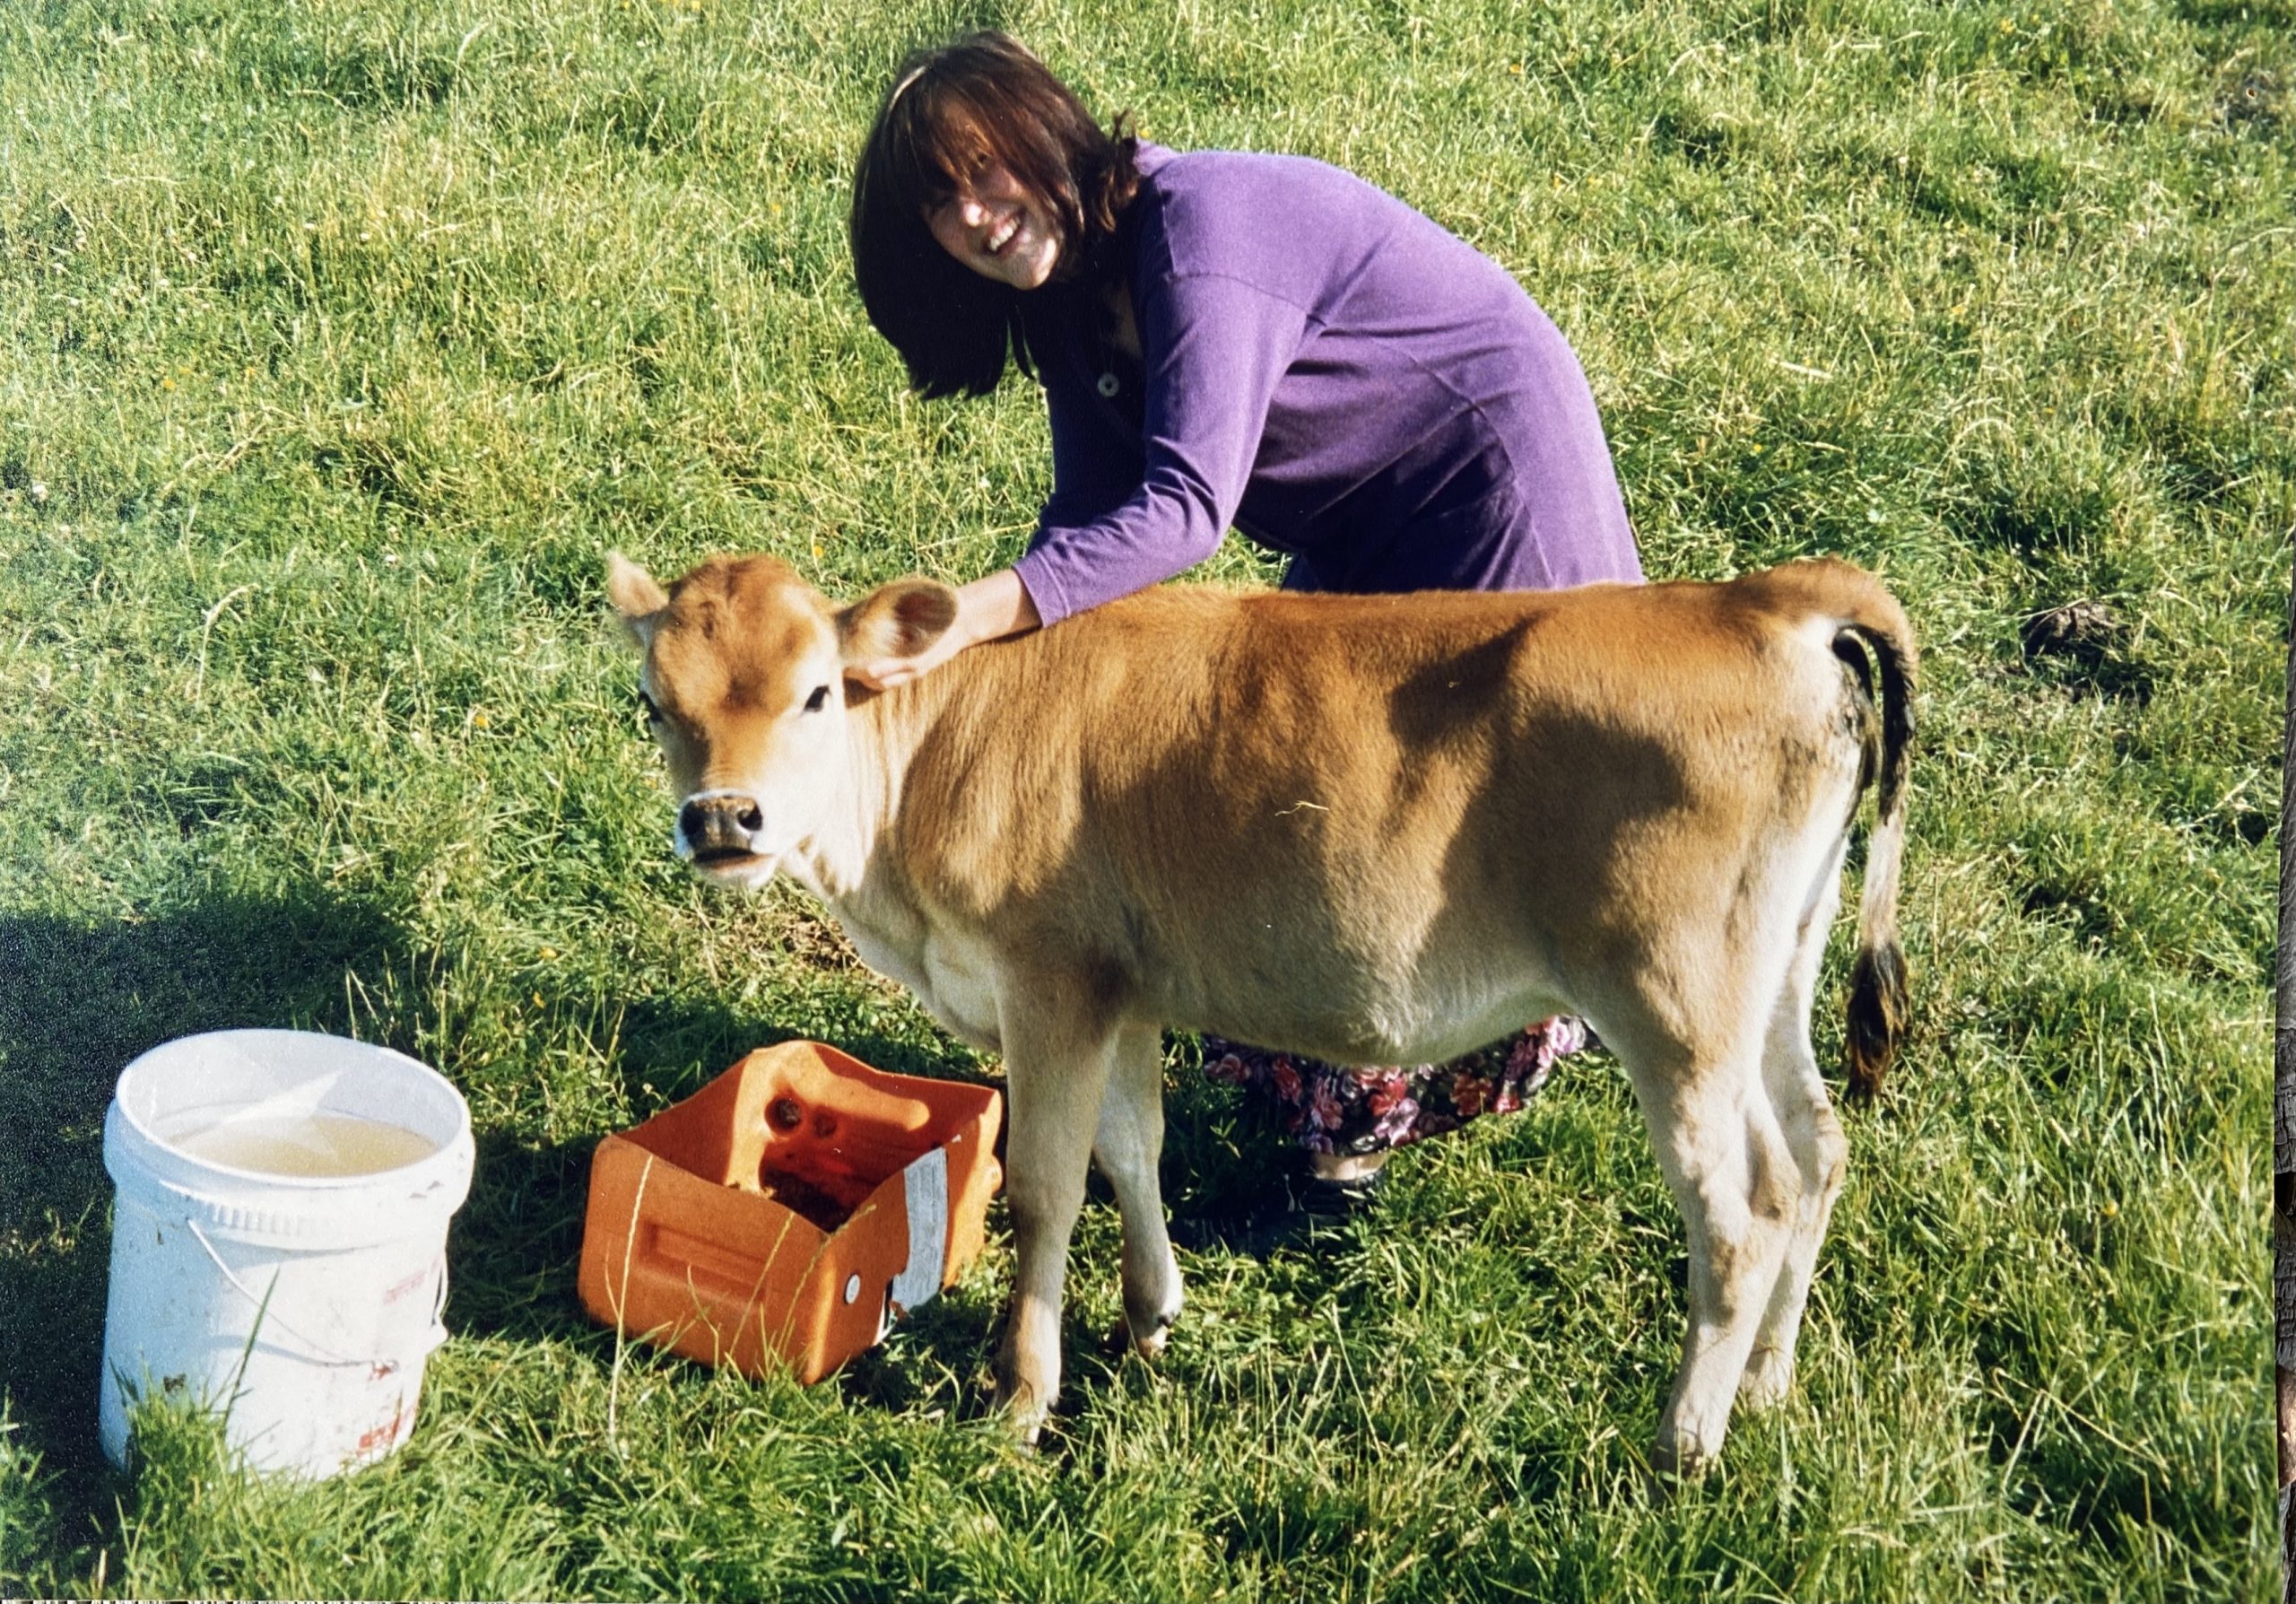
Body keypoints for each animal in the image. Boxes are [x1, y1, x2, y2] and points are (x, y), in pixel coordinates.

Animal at [604, 550, 1914, 1475]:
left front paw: (1019, 1399)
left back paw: (1684, 1445)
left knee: (1739, 1214)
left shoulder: (1049, 981)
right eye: (654, 701)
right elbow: (1132, 1148)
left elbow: (1045, 1187)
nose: (724, 819)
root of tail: (1760, 599)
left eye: (819, 694)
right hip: (1774, 978)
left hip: (1674, 1001)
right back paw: (1765, 1388)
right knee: (1814, 1156)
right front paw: (1150, 1317)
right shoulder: (1125, 992)